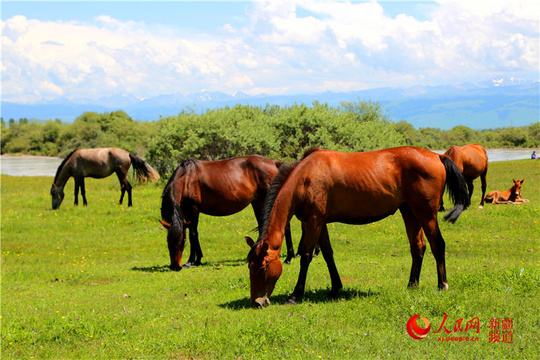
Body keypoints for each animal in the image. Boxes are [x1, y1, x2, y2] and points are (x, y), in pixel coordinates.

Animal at [160, 155, 296, 270]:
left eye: (182, 242)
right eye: (168, 242)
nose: (175, 267)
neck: (187, 177)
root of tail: (274, 163)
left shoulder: (193, 209)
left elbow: (193, 234)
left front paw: (193, 261)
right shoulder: (186, 211)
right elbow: (191, 232)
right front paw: (194, 260)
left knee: (285, 226)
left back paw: (289, 258)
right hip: (258, 202)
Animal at [247, 146, 470, 306]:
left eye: (263, 268)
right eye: (250, 267)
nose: (257, 302)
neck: (305, 178)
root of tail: (437, 156)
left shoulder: (314, 221)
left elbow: (306, 255)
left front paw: (295, 295)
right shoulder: (320, 222)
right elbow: (327, 253)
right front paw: (335, 287)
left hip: (426, 213)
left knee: (438, 245)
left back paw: (442, 285)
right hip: (409, 212)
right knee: (418, 247)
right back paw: (412, 285)